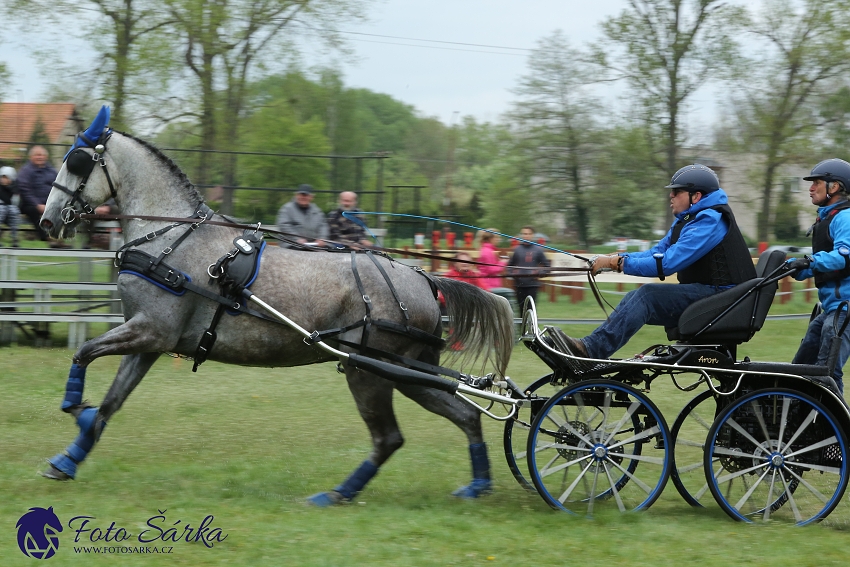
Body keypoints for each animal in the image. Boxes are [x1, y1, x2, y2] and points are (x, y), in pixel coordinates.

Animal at [38, 108, 510, 504]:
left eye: (77, 161)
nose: (48, 220)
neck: (171, 238)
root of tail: (424, 278)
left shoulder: (150, 330)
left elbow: (84, 354)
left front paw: (74, 406)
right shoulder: (150, 342)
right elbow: (110, 404)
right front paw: (68, 458)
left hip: (368, 370)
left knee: (388, 438)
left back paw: (337, 494)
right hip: (406, 371)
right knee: (466, 415)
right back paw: (477, 485)